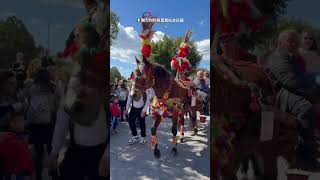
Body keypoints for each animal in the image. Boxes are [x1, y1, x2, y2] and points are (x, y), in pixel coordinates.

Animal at [130, 12, 208, 158]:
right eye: (132, 75)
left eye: (143, 76)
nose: (132, 95)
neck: (167, 91)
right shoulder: (160, 113)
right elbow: (153, 129)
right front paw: (156, 150)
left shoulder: (176, 112)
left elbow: (173, 130)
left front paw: (174, 148)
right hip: (185, 109)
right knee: (186, 120)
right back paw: (183, 136)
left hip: (193, 107)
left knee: (195, 117)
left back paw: (193, 130)